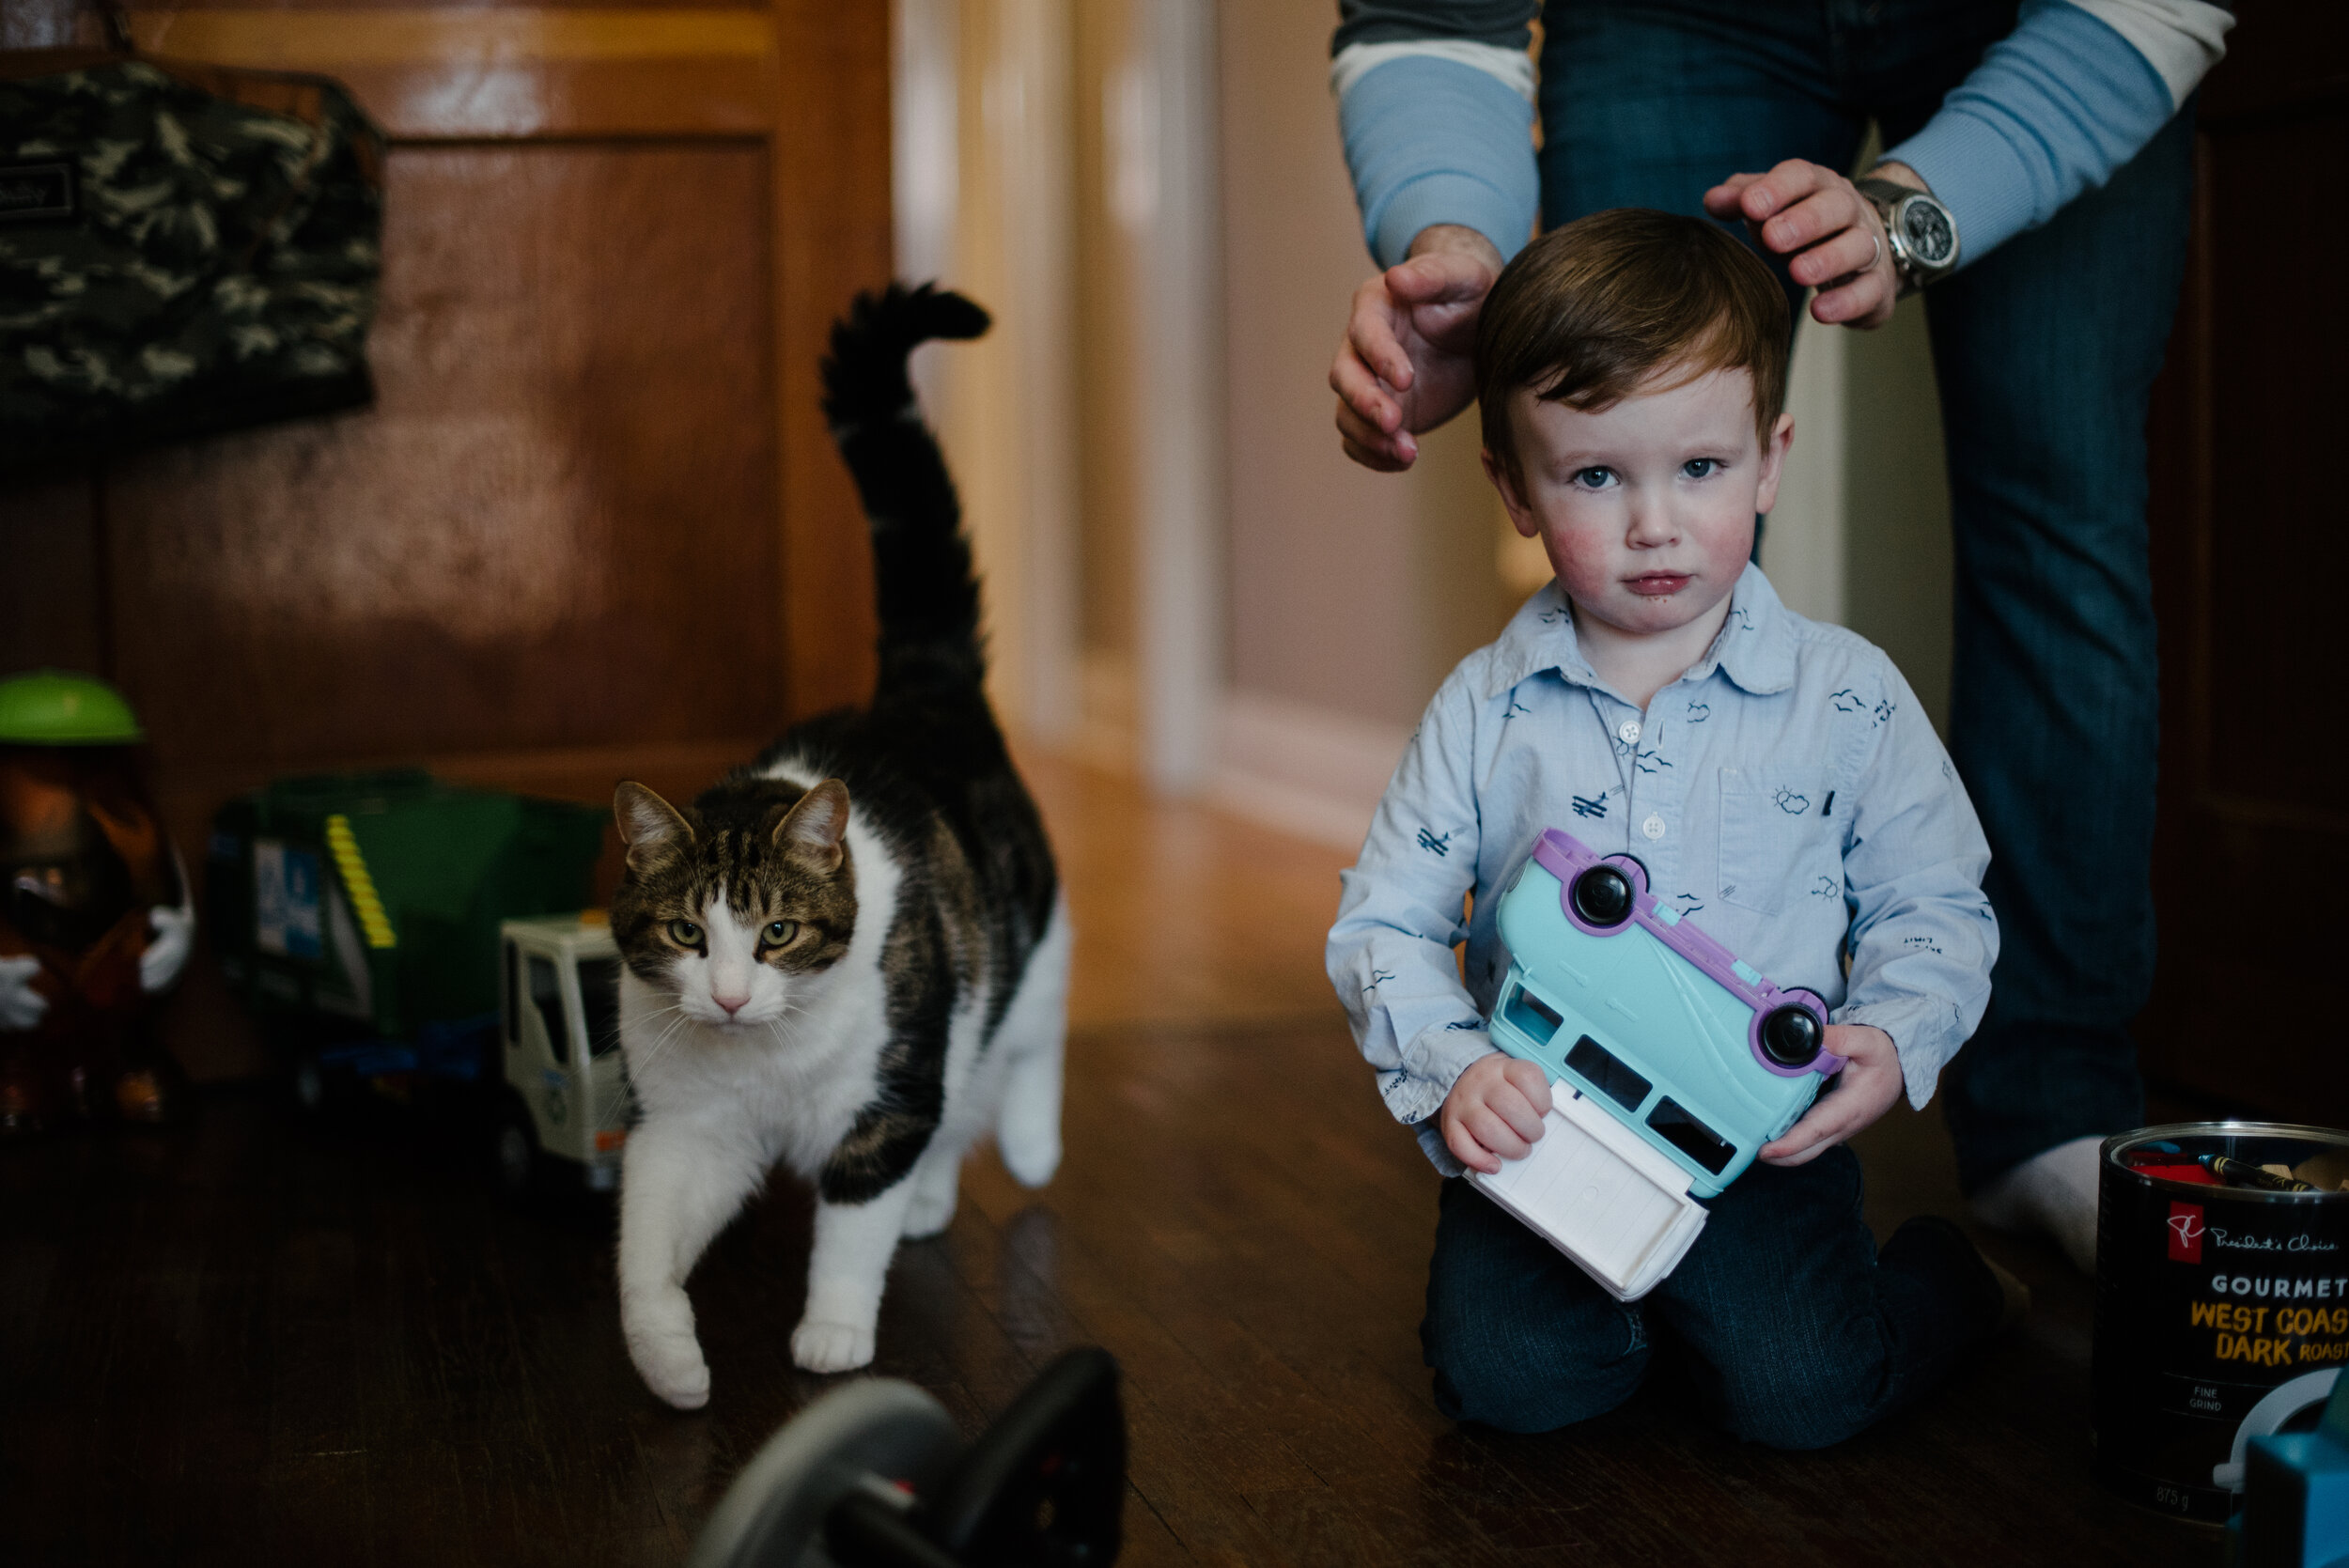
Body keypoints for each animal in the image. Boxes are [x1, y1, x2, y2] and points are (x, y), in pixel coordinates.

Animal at [615, 287, 1076, 1399]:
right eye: (688, 936)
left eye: (777, 932)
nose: (729, 996)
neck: (765, 1064)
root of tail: (919, 688)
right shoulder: (683, 1129)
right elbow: (642, 1254)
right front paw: (670, 1364)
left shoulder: (884, 1104)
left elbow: (849, 1234)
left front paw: (831, 1337)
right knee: (962, 1100)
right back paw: (936, 1196)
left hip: (1020, 945)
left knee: (1029, 1036)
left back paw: (1029, 1145)